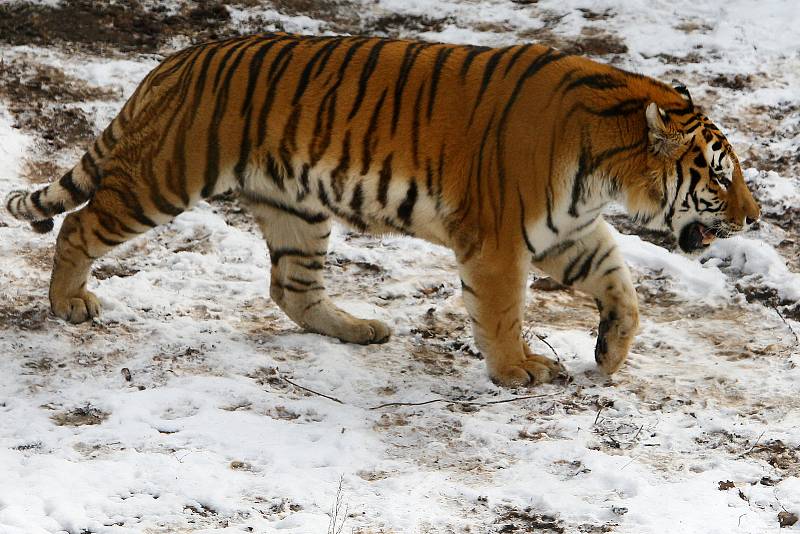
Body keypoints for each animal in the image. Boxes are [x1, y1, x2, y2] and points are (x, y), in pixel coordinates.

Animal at [6, 33, 760, 388]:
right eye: (721, 178)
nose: (755, 219)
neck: (606, 169)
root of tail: (172, 64)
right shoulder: (499, 240)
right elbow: (503, 310)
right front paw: (517, 370)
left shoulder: (566, 230)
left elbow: (623, 289)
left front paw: (609, 352)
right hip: (161, 179)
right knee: (77, 224)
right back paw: (68, 304)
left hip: (296, 207)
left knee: (292, 288)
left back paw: (359, 330)